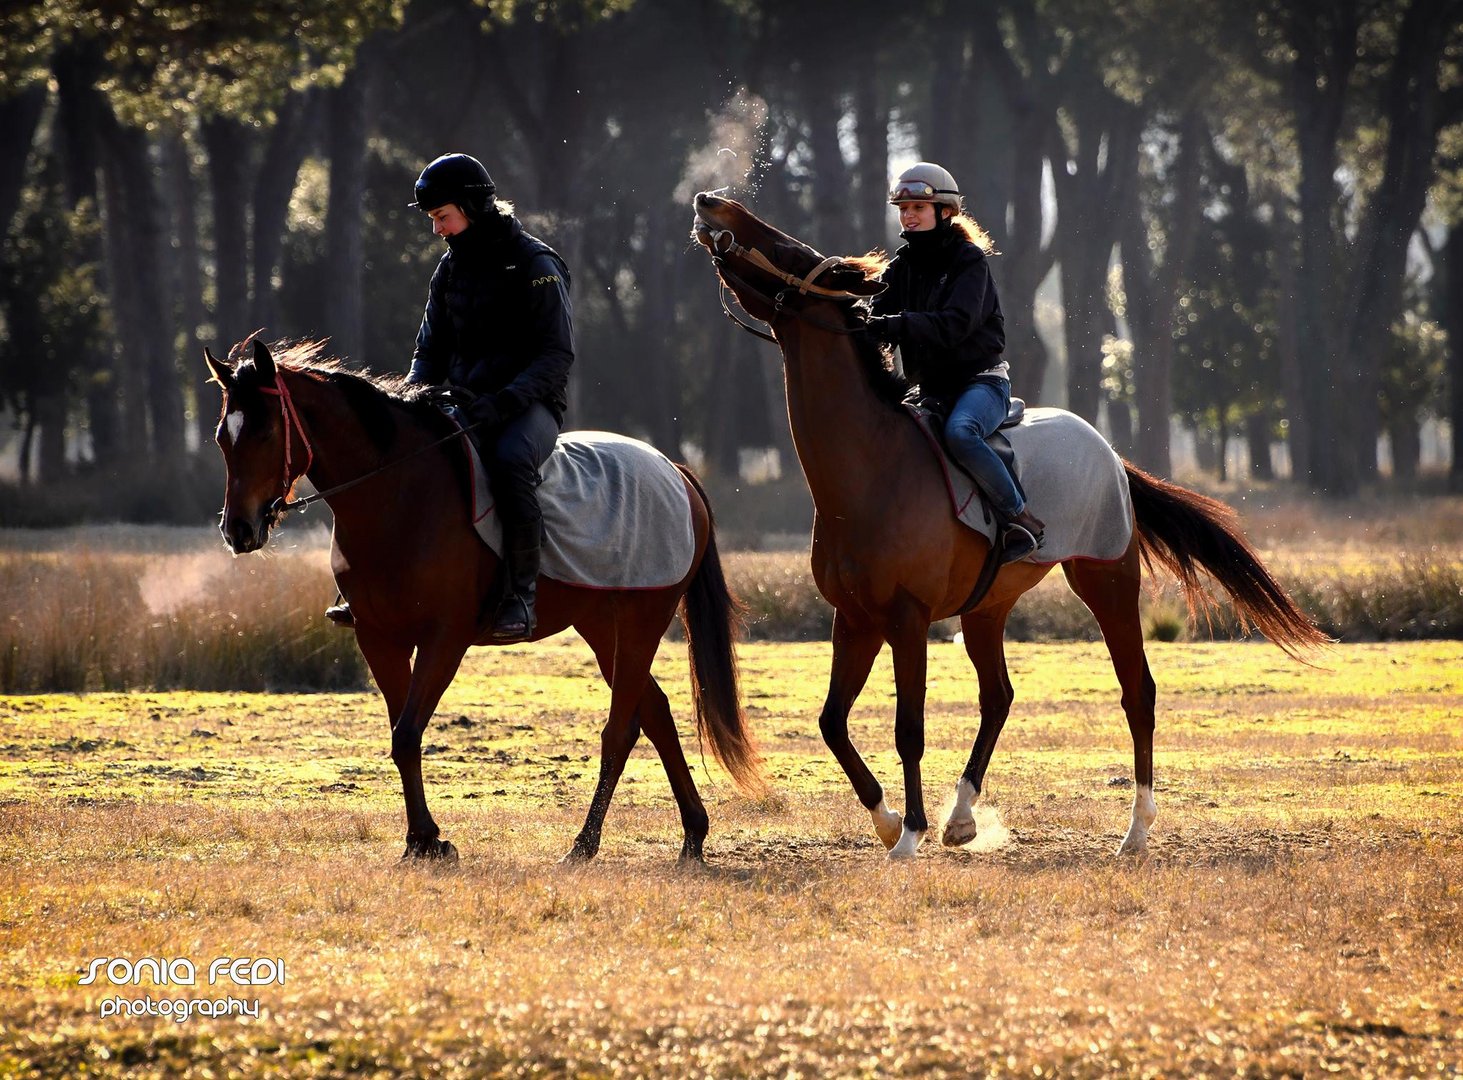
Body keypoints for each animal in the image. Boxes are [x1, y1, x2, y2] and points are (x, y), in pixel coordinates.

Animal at [209, 336, 766, 860]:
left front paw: (428, 839)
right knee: (654, 711)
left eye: (264, 432)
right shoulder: (379, 640)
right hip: (599, 625)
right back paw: (691, 835)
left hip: (641, 620)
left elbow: (408, 733)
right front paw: (423, 840)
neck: (400, 495)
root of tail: (674, 471)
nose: (238, 530)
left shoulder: (444, 640)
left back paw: (585, 844)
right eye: (221, 438)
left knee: (620, 728)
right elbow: (401, 736)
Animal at [687, 191, 1328, 860]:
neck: (870, 470)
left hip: (1106, 584)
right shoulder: (855, 619)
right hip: (985, 610)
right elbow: (832, 722)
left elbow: (908, 728)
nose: (711, 203)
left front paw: (908, 834)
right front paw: (888, 820)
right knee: (998, 696)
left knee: (1138, 692)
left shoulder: (908, 619)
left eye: (793, 252)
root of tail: (1110, 453)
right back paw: (963, 816)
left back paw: (1135, 829)